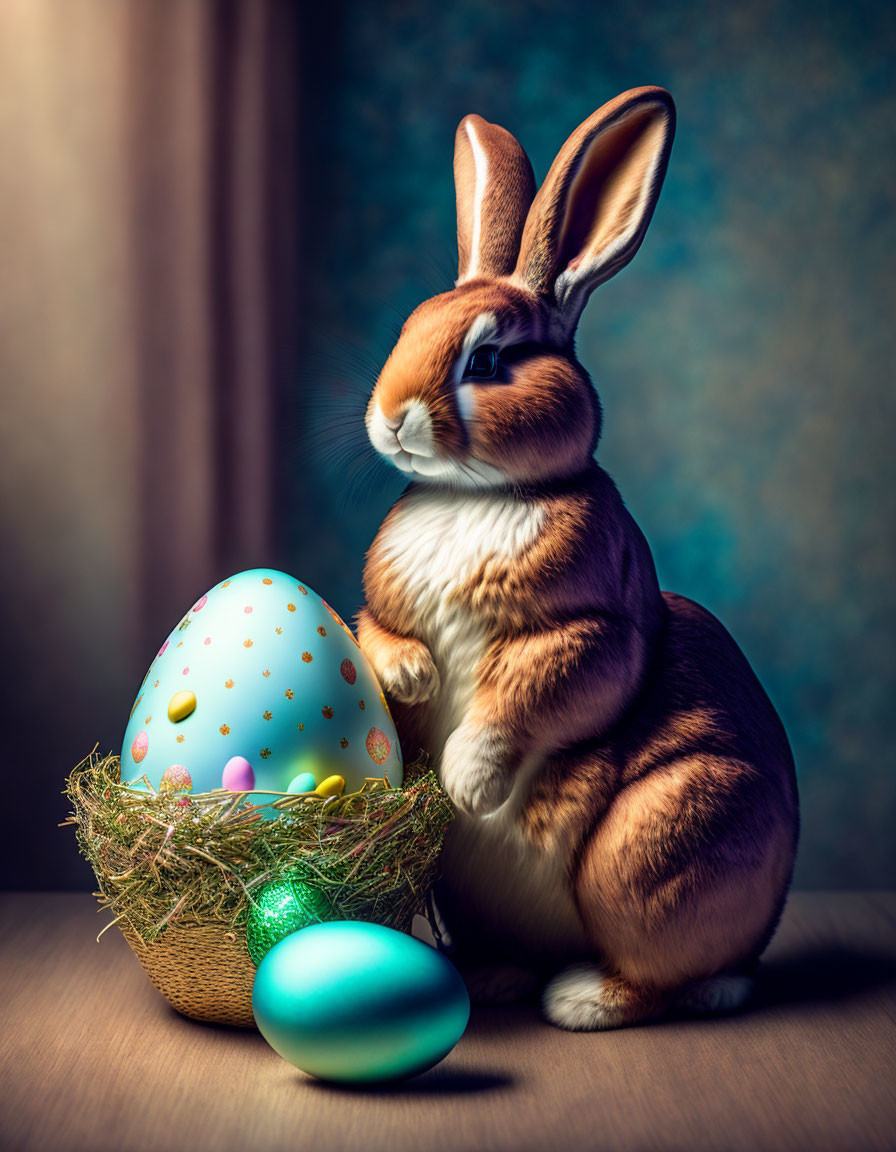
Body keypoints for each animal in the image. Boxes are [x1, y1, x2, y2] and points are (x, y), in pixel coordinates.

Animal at [354, 85, 796, 1032]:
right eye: (408, 327)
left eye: (489, 358)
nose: (393, 416)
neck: (475, 494)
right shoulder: (380, 607)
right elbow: (376, 633)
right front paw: (412, 677)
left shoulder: (587, 629)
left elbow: (536, 692)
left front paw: (469, 783)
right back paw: (491, 979)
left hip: (652, 845)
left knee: (660, 976)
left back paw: (585, 998)